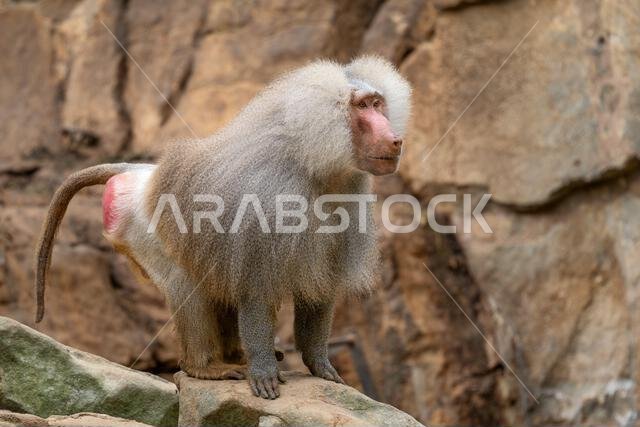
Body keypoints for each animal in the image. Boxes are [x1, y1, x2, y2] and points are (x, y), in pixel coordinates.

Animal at [34, 55, 411, 399]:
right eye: (362, 107)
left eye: (378, 103)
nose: (395, 140)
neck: (315, 162)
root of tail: (141, 173)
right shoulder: (268, 202)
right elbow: (256, 288)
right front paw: (263, 372)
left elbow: (320, 290)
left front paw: (320, 366)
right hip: (142, 230)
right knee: (189, 285)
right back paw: (206, 367)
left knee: (219, 282)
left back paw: (235, 356)